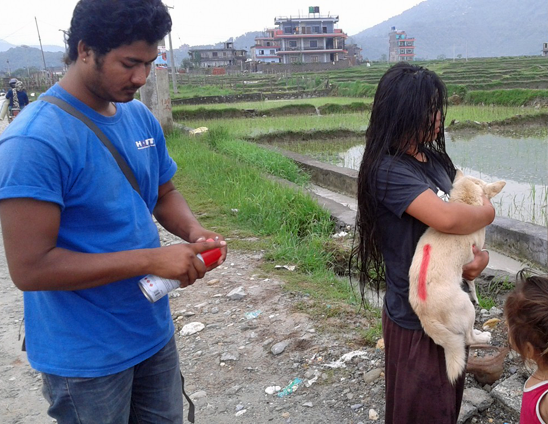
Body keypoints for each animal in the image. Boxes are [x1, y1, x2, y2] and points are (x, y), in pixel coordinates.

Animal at [412, 170, 506, 384]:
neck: (465, 203)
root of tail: (425, 315)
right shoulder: (475, 256)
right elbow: (472, 281)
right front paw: (475, 293)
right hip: (467, 309)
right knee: (468, 337)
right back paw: (482, 336)